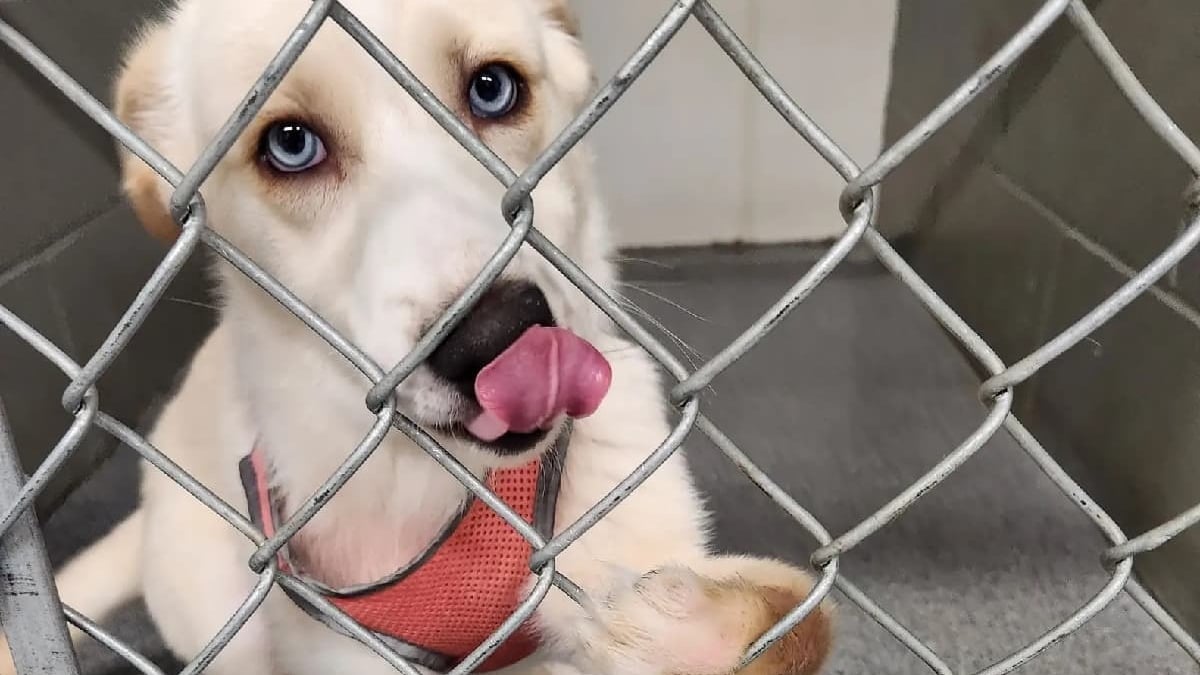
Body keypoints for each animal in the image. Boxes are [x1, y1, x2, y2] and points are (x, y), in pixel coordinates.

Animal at [2, 1, 835, 672]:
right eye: (289, 144)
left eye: (493, 88)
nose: (496, 337)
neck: (438, 480)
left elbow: (801, 612)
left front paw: (691, 635)